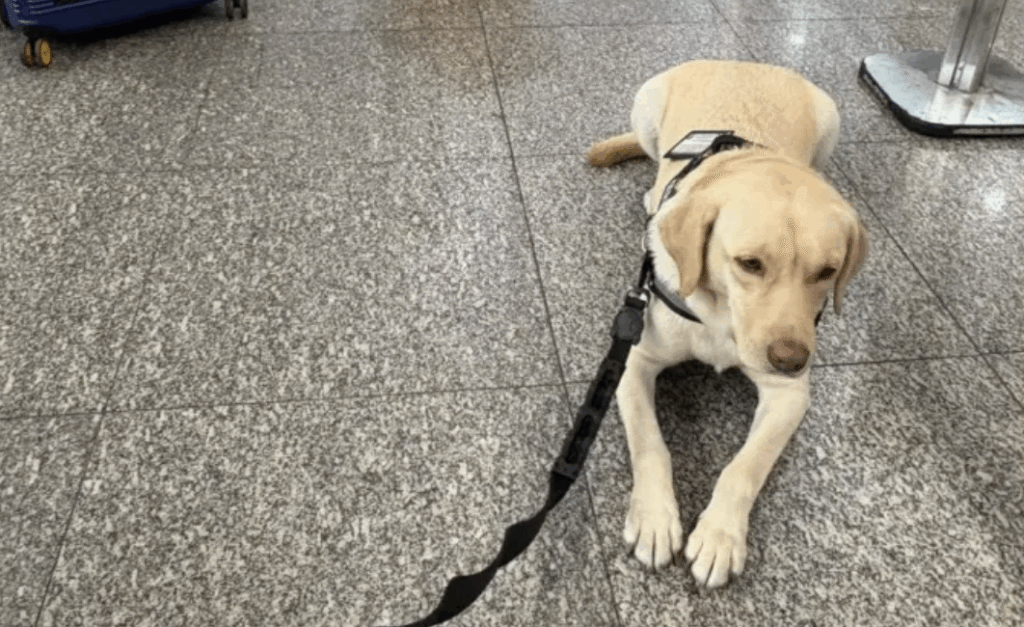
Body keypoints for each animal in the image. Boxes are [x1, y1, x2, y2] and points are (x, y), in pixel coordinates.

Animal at [587, 60, 867, 588]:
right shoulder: (632, 359)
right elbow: (650, 444)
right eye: (749, 263)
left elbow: (744, 467)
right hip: (646, 104)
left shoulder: (789, 394)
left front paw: (719, 536)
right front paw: (655, 518)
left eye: (826, 272)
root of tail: (747, 61)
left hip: (832, 118)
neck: (721, 321)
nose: (791, 359)